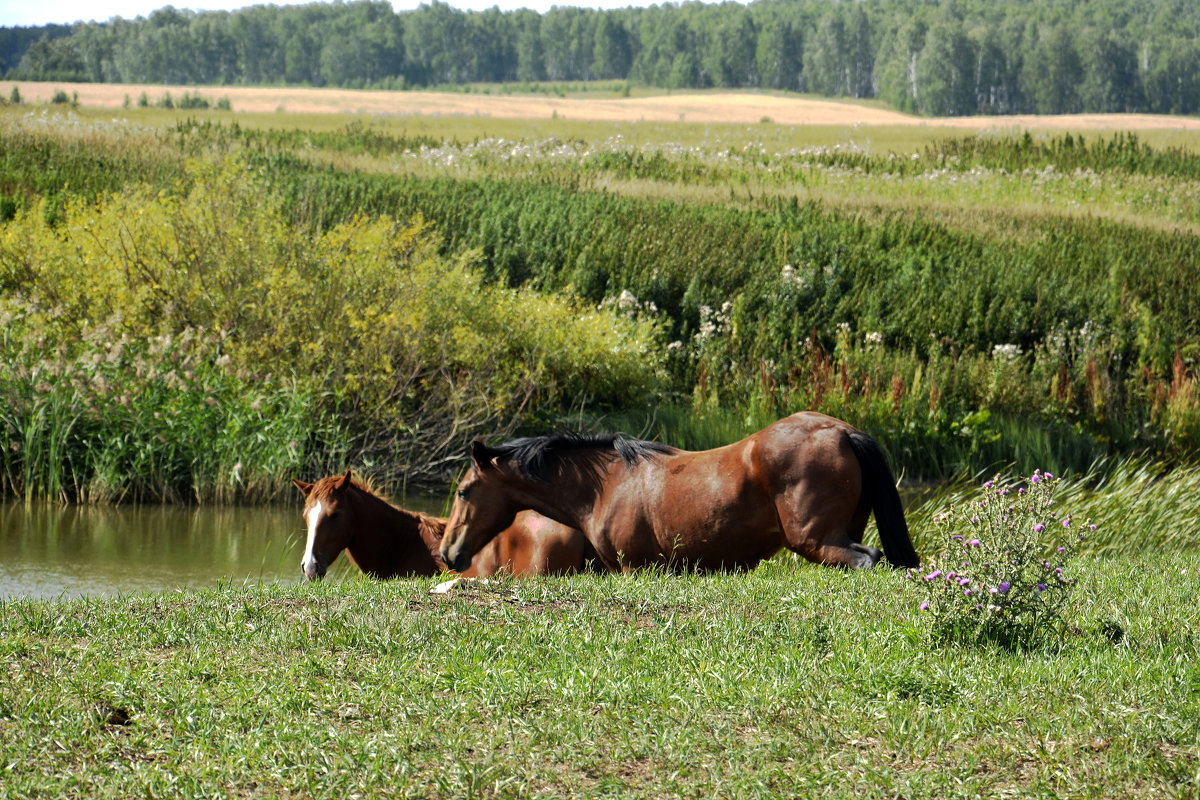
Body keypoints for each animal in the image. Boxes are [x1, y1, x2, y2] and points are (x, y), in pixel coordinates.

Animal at [441, 412, 916, 575]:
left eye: (463, 491)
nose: (448, 553)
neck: (606, 485)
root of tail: (843, 431)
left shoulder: (634, 569)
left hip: (817, 540)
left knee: (866, 560)